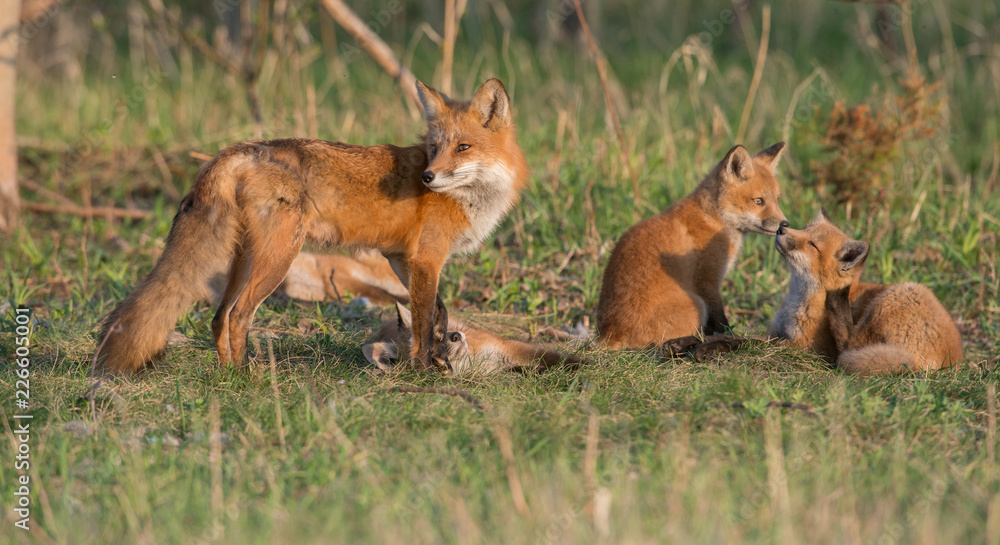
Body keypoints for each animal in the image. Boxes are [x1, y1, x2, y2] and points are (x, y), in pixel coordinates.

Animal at [96, 78, 528, 372]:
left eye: (463, 147)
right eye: (435, 148)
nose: (427, 177)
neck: (470, 199)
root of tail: (242, 149)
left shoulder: (401, 258)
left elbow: (437, 311)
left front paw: (439, 352)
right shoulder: (425, 260)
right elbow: (422, 320)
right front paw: (422, 371)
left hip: (244, 258)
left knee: (219, 316)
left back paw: (227, 374)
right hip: (278, 258)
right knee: (238, 316)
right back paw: (246, 378)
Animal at [596, 143, 784, 348]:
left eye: (777, 199)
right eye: (758, 201)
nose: (785, 224)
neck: (714, 218)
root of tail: (609, 334)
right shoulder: (707, 281)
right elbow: (721, 322)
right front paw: (729, 336)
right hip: (697, 306)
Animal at [768, 210, 964, 376]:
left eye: (812, 244)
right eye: (804, 229)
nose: (781, 229)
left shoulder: (804, 344)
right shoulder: (776, 331)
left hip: (898, 295)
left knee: (849, 344)